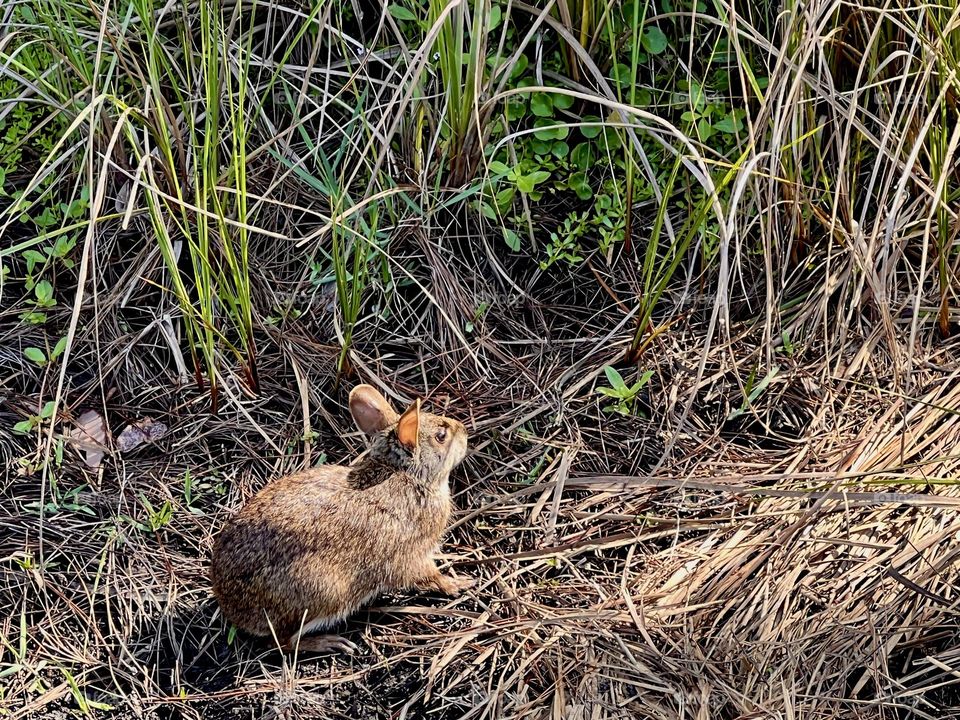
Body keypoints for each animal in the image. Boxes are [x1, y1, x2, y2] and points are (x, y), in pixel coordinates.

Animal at [214, 386, 476, 656]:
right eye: (441, 435)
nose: (465, 431)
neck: (408, 476)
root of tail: (232, 606)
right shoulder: (412, 554)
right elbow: (428, 575)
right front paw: (458, 584)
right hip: (323, 593)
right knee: (283, 642)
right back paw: (329, 642)